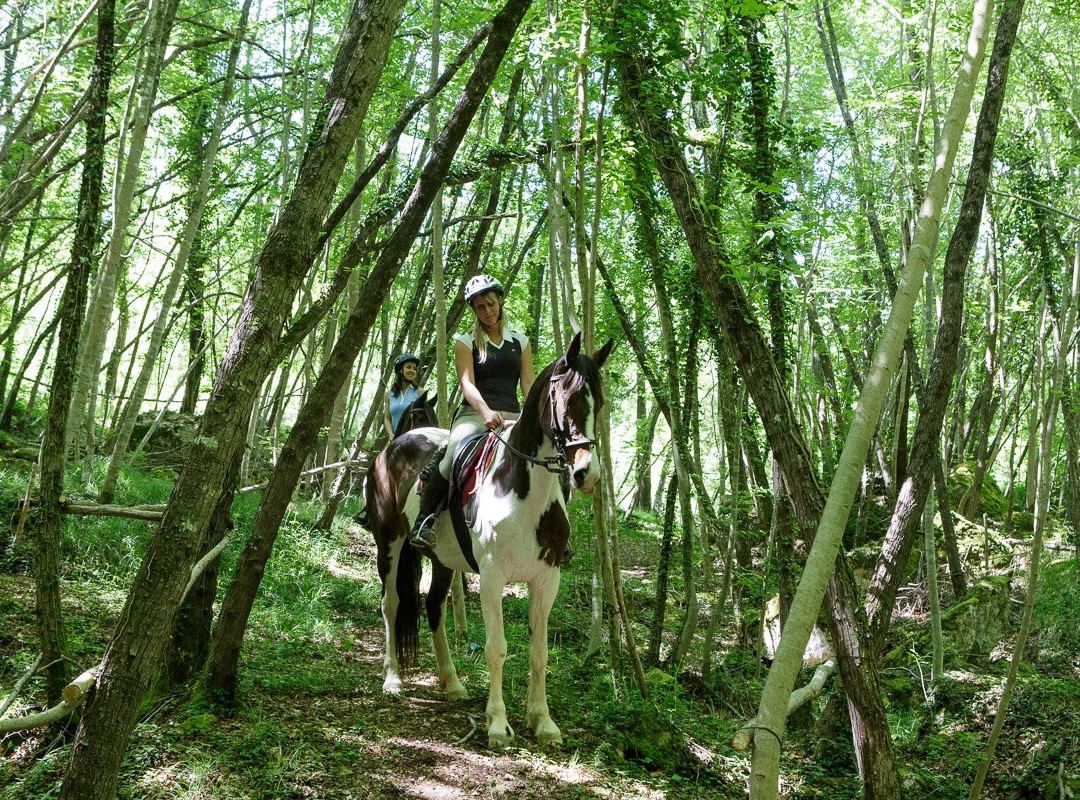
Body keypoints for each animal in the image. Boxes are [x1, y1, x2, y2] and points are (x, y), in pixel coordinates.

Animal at [362, 328, 613, 747]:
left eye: (601, 402)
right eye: (567, 397)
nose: (586, 474)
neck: (524, 489)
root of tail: (392, 447)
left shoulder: (547, 578)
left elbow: (539, 652)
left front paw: (543, 722)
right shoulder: (494, 575)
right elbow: (497, 649)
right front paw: (497, 723)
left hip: (442, 559)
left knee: (434, 607)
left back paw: (451, 682)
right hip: (390, 544)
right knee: (392, 603)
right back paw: (393, 677)